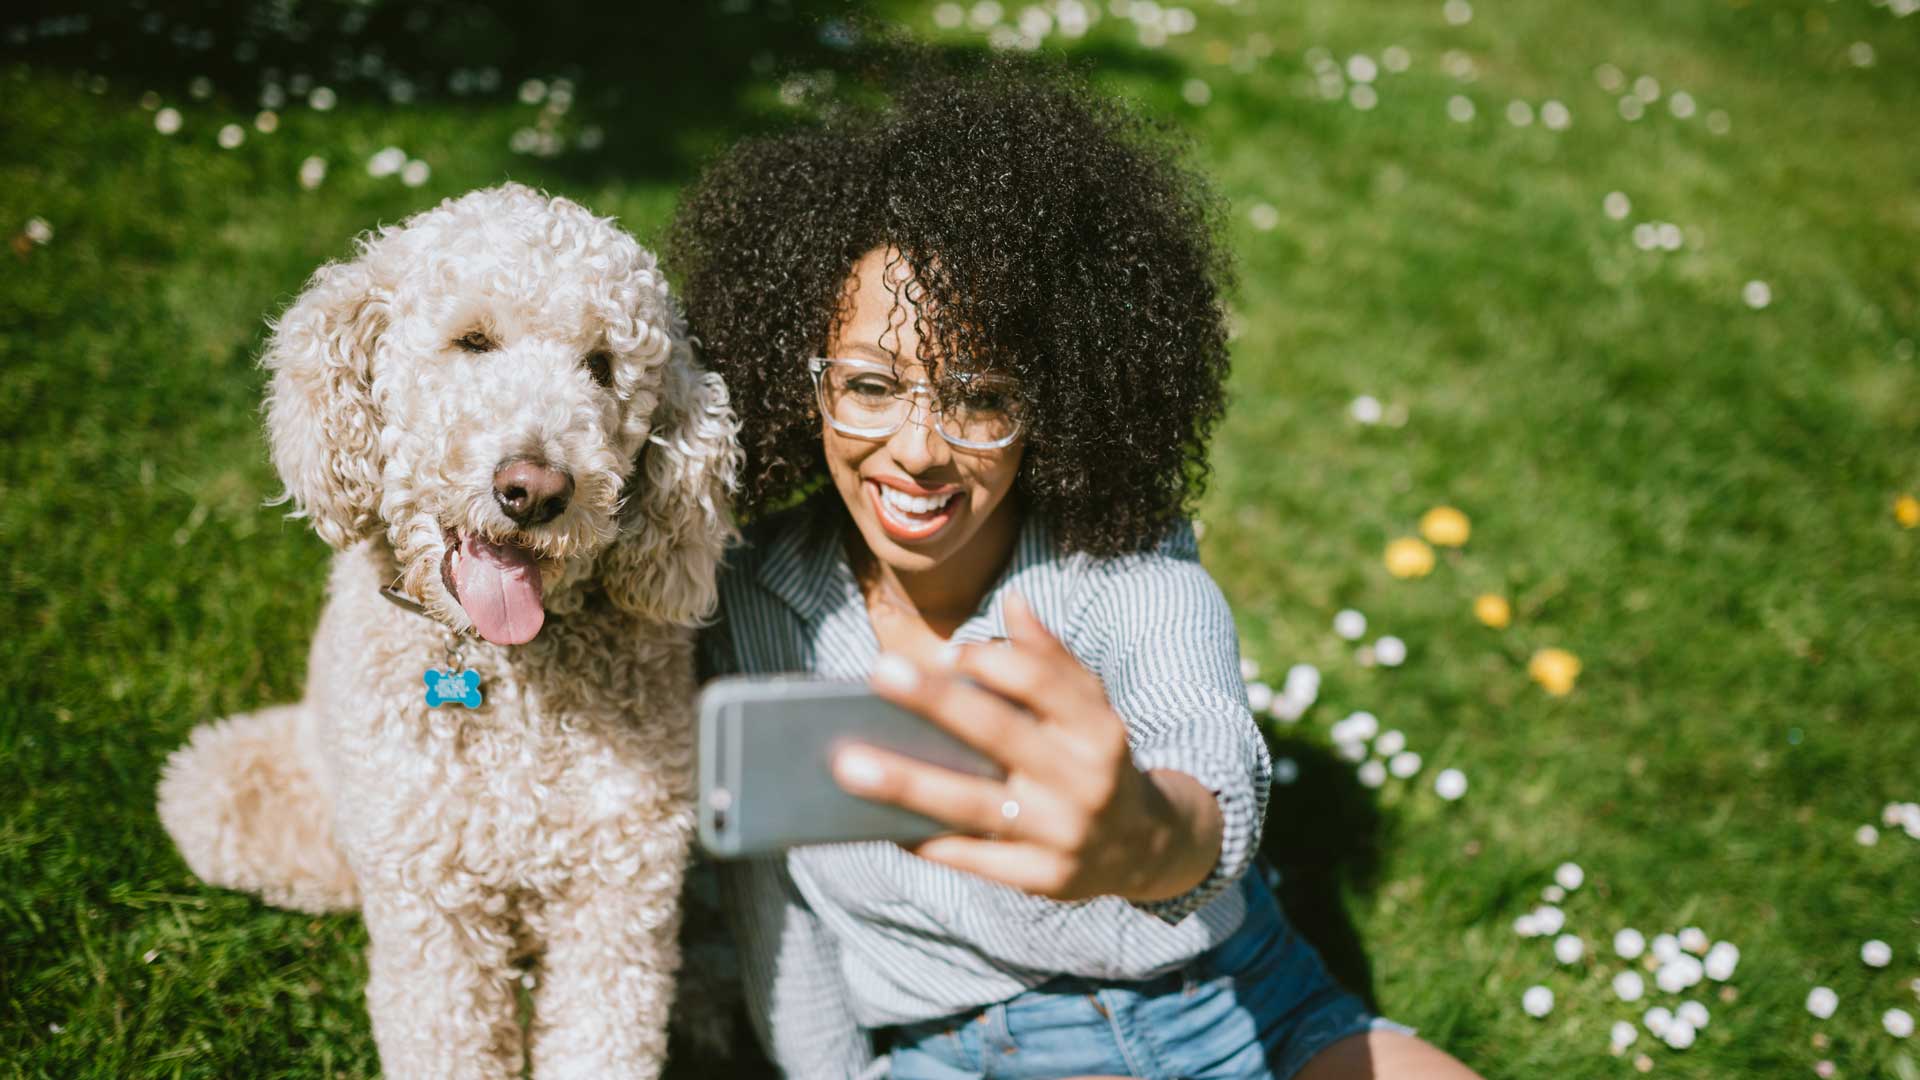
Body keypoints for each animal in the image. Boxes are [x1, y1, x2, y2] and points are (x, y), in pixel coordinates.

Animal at [157, 184, 737, 1076]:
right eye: (473, 340)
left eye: (602, 366)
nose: (535, 489)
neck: (505, 669)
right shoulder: (432, 901)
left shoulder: (620, 889)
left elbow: (605, 1034)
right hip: (219, 786)